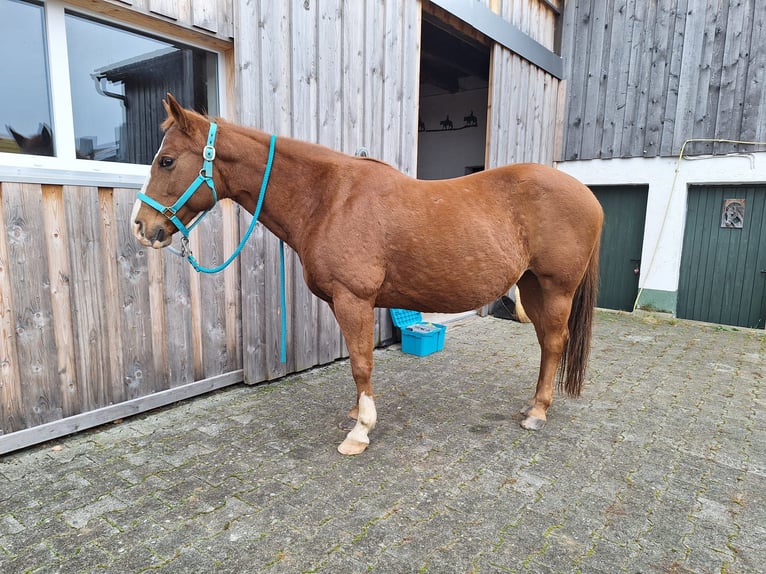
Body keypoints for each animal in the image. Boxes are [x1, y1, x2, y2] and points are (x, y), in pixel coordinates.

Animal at [132, 97, 604, 456]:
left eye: (166, 160)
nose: (141, 226)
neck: (328, 198)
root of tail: (587, 195)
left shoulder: (353, 298)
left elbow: (361, 363)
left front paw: (361, 430)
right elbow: (356, 363)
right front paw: (356, 413)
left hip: (556, 287)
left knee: (554, 342)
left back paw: (538, 412)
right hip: (531, 284)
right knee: (545, 342)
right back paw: (532, 405)